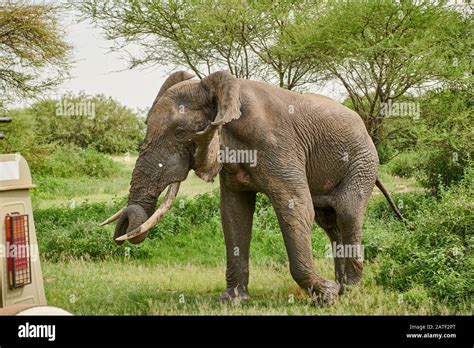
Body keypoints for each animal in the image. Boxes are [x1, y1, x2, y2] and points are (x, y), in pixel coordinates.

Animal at [101, 70, 404, 304]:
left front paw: (326, 296)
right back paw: (343, 289)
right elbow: (234, 213)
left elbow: (295, 207)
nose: (122, 231)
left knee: (348, 213)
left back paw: (349, 291)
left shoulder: (277, 144)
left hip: (362, 161)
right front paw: (232, 300)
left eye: (180, 133)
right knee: (329, 221)